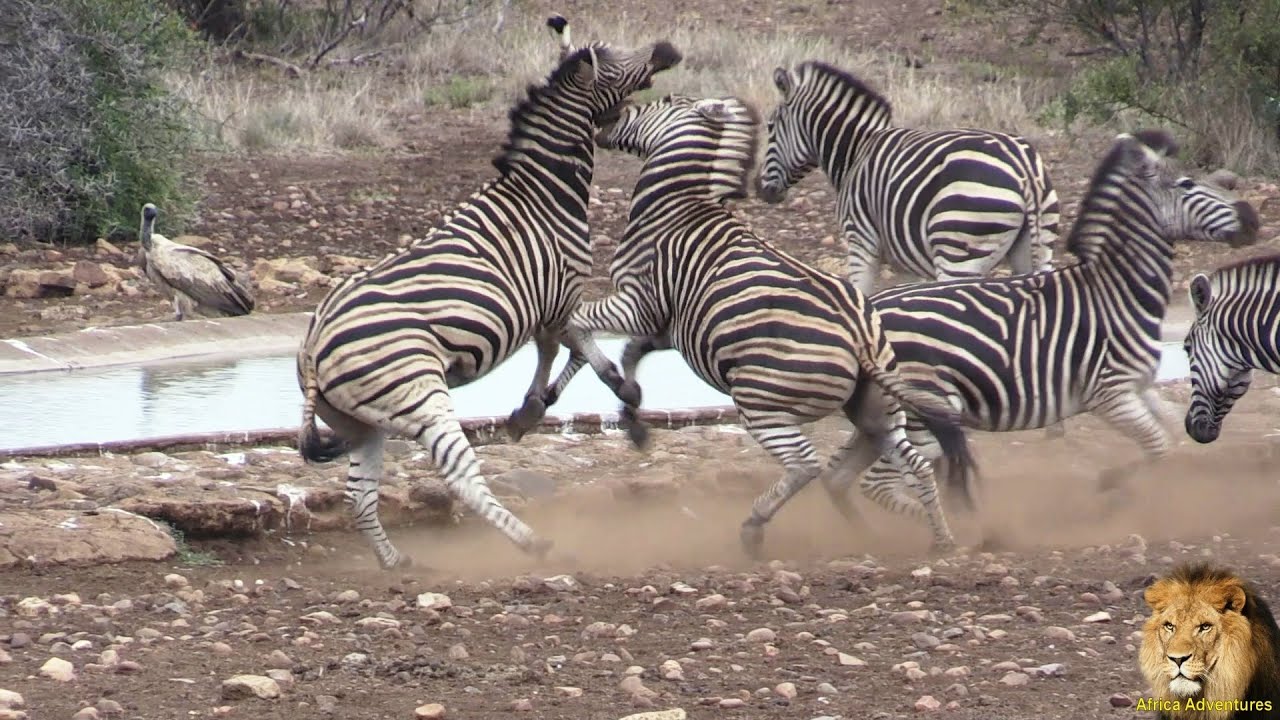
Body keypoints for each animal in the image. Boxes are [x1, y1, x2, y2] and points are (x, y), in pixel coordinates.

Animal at [294, 23, 683, 570]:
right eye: (616, 59)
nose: (669, 49)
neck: (543, 193)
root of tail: (312, 347)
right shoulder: (560, 295)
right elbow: (578, 348)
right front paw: (617, 390)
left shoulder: (546, 307)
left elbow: (557, 352)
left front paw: (532, 408)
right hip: (419, 394)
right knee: (460, 476)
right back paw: (533, 543)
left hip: (359, 422)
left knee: (359, 493)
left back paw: (397, 563)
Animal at [527, 93, 979, 556]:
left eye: (662, 101)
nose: (608, 115)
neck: (676, 205)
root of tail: (860, 339)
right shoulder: (671, 326)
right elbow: (632, 351)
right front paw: (631, 409)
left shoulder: (639, 302)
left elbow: (579, 326)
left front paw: (591, 389)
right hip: (876, 411)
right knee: (916, 465)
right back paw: (940, 539)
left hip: (760, 400)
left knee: (806, 465)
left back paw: (754, 527)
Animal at [758, 61, 1061, 295]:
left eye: (770, 128)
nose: (760, 189)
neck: (857, 151)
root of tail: (1023, 166)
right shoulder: (903, 260)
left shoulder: (861, 241)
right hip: (1037, 246)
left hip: (959, 253)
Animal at [814, 129, 1258, 516]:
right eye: (1187, 184)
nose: (1252, 218)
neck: (1117, 289)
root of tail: (863, 318)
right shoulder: (1110, 395)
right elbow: (1159, 446)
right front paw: (1112, 484)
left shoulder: (1140, 387)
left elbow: (1170, 440)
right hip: (926, 412)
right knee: (878, 482)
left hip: (883, 417)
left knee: (838, 477)